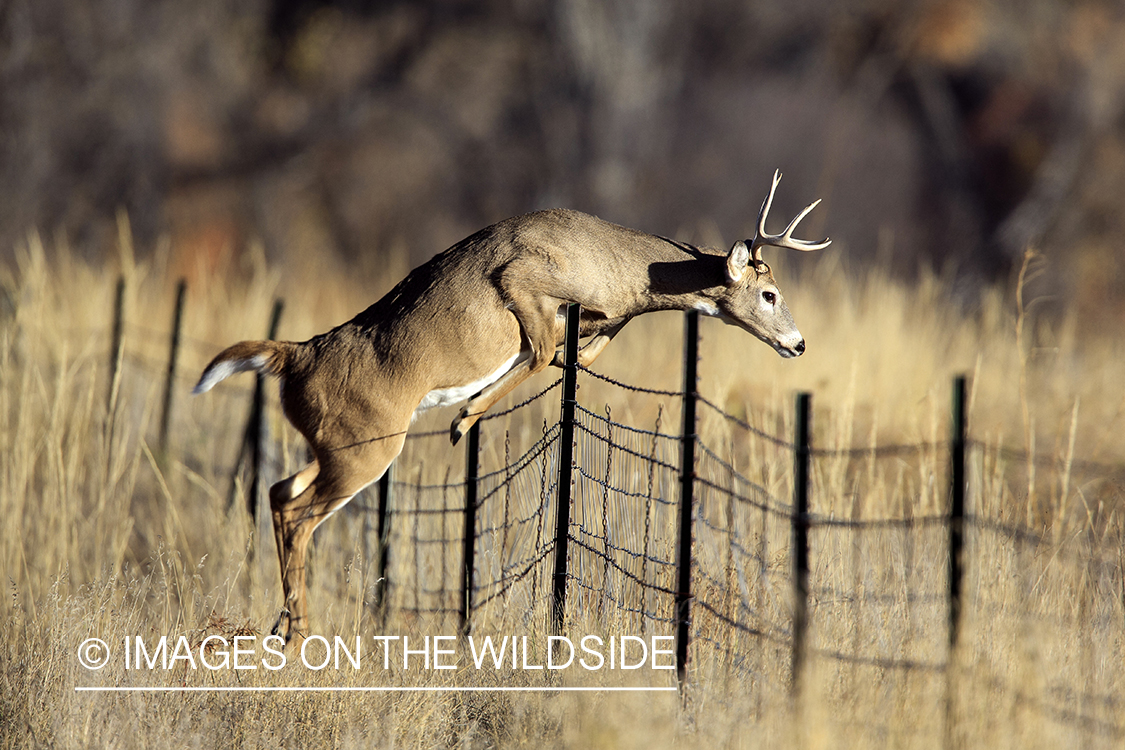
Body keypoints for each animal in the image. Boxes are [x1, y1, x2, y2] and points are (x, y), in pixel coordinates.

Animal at [191, 172, 828, 647]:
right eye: (769, 294)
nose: (800, 344)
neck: (618, 267)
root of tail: (294, 356)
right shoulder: (524, 275)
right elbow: (544, 350)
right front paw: (464, 416)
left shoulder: (593, 316)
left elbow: (575, 349)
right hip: (366, 447)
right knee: (299, 515)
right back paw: (299, 631)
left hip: (329, 446)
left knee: (280, 492)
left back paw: (284, 625)